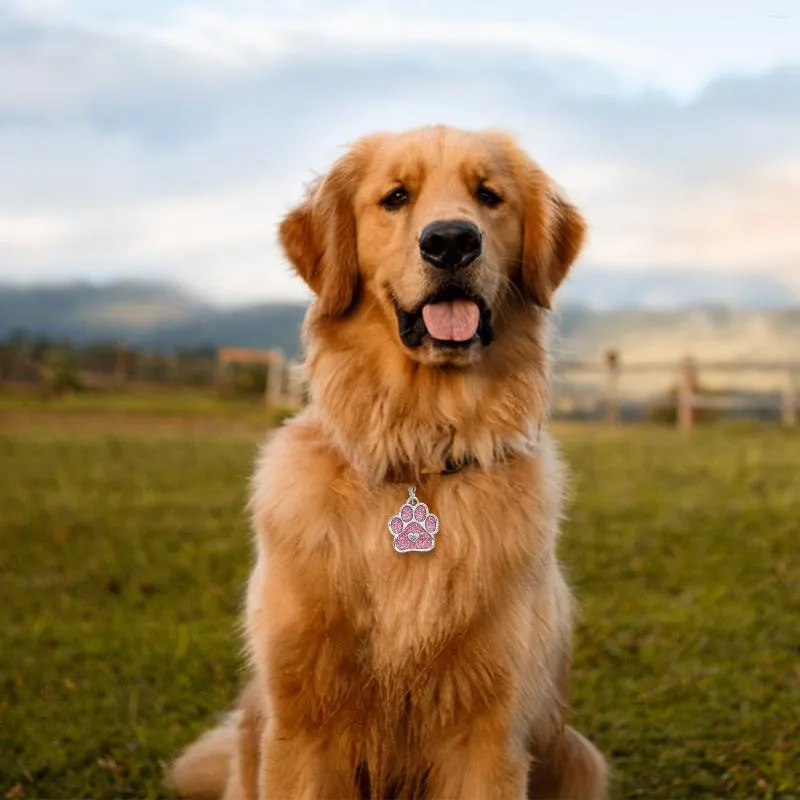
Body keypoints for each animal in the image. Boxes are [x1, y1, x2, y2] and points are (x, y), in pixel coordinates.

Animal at [169, 125, 608, 800]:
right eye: (396, 197)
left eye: (489, 195)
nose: (451, 241)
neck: (419, 453)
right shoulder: (302, 726)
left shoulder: (490, 733)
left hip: (579, 756)